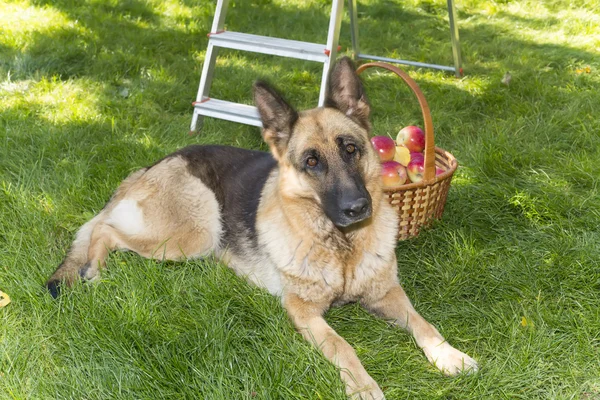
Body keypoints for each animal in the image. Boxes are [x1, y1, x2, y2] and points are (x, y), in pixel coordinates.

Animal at [47, 57, 478, 398]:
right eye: (311, 162)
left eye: (351, 149)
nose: (358, 208)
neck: (341, 247)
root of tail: (148, 167)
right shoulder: (304, 313)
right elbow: (343, 346)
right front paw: (363, 386)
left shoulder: (388, 293)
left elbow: (424, 323)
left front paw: (449, 355)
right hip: (197, 231)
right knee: (104, 230)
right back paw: (95, 270)